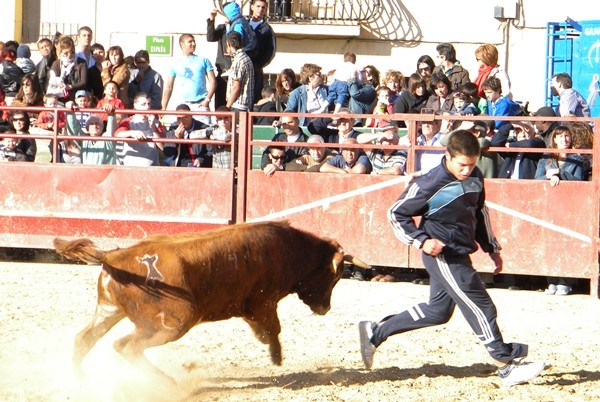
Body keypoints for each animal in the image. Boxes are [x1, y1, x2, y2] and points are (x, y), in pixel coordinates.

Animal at [52, 220, 370, 380]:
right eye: (335, 277)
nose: (325, 308)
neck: (289, 249)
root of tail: (115, 255)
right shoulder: (263, 303)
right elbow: (273, 329)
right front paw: (276, 355)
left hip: (109, 310)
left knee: (85, 339)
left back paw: (78, 379)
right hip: (173, 322)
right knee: (126, 346)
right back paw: (167, 383)